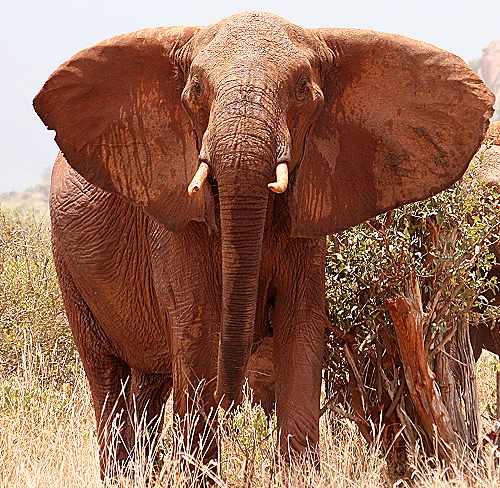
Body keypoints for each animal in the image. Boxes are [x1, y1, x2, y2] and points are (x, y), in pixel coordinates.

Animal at [33, 12, 494, 476]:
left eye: (303, 89)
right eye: (195, 89)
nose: (233, 400)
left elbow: (301, 327)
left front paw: (297, 474)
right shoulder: (174, 221)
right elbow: (198, 332)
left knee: (151, 386)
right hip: (69, 265)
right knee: (107, 376)